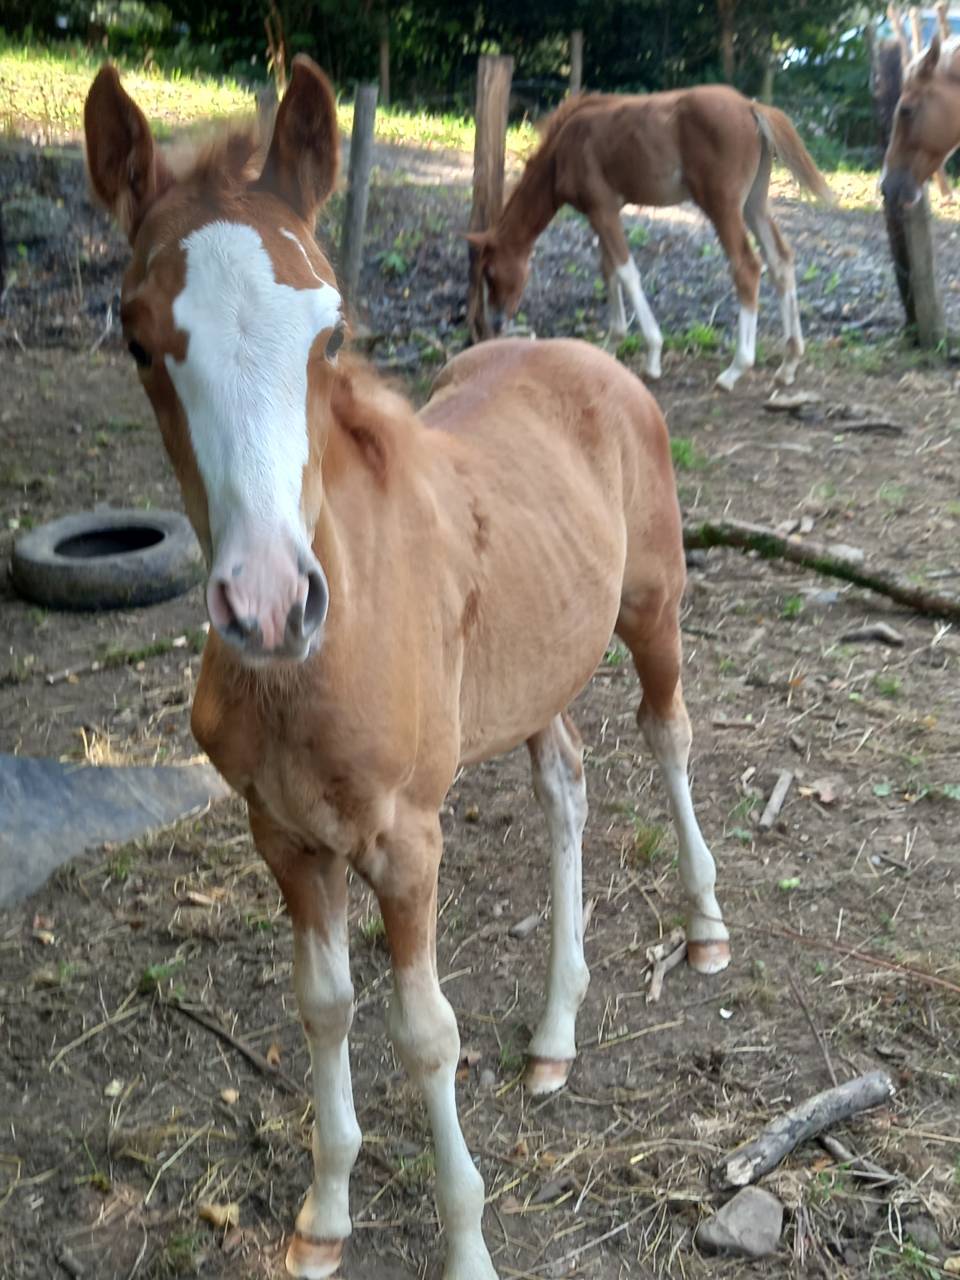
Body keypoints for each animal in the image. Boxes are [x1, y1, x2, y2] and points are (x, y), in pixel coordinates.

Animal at [84, 57, 730, 1280]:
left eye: (331, 331)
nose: (270, 603)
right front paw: (323, 1216)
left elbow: (426, 1033)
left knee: (668, 736)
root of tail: (586, 355)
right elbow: (324, 1006)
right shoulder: (284, 837)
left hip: (651, 608)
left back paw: (708, 925)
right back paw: (556, 1029)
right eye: (138, 341)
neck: (310, 674)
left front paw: (467, 1243)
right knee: (567, 784)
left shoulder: (405, 838)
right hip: (530, 672)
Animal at [466, 86, 833, 392]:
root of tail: (750, 106)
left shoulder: (602, 208)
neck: (562, 152)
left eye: (491, 273)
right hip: (754, 204)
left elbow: (627, 272)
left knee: (747, 266)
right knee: (781, 261)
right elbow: (609, 270)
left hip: (722, 205)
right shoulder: (605, 213)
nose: (496, 322)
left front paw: (653, 355)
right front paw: (611, 345)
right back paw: (788, 364)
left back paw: (735, 369)